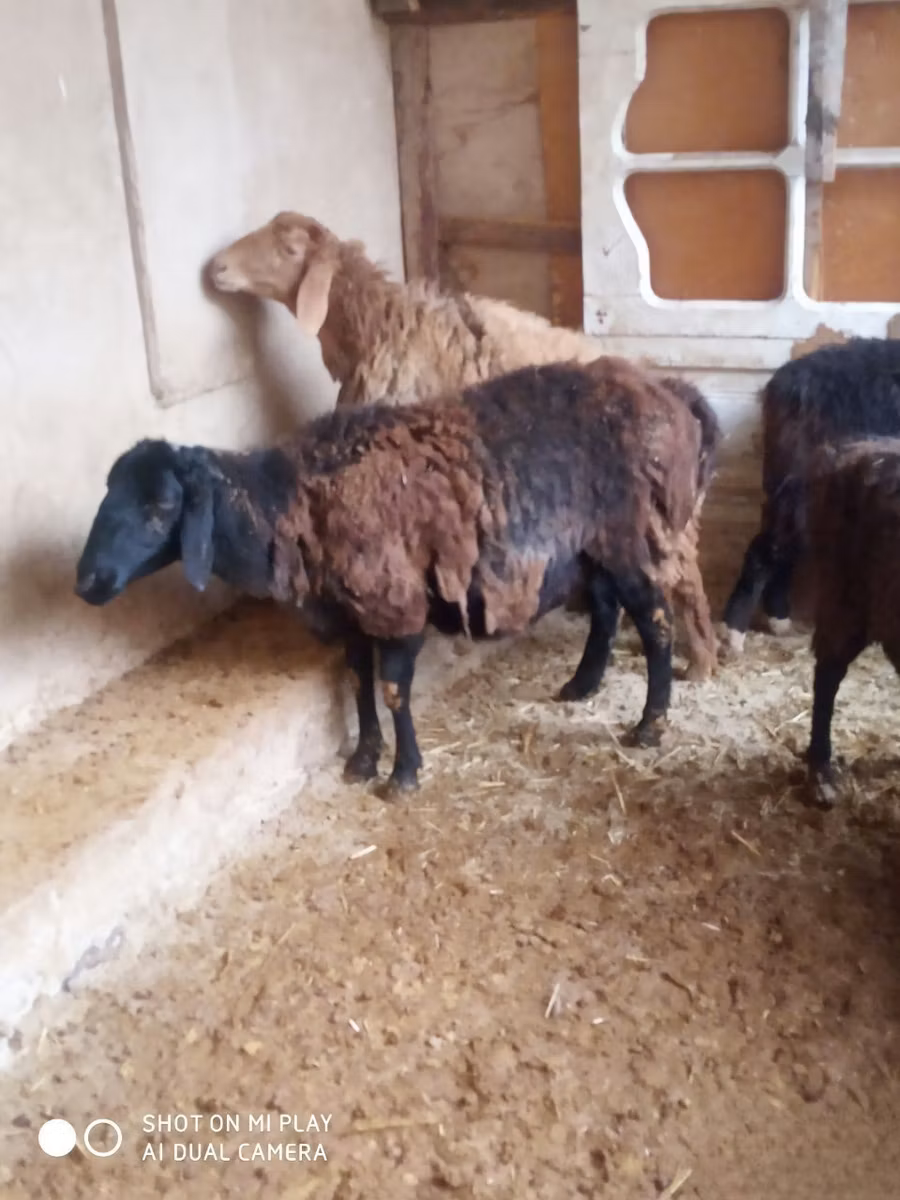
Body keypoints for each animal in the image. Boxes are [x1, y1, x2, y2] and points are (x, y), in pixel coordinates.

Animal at [75, 357, 715, 794]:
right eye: (106, 492)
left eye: (160, 507)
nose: (88, 583)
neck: (291, 501)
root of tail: (671, 390)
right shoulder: (351, 613)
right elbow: (359, 682)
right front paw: (362, 760)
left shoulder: (395, 601)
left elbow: (392, 688)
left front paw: (403, 773)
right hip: (593, 546)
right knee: (606, 608)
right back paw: (583, 685)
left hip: (632, 536)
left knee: (656, 622)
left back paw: (650, 724)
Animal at [206, 210, 721, 681]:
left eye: (290, 249)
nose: (216, 267)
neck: (381, 325)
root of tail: (679, 392)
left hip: (658, 515)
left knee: (685, 579)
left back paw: (701, 661)